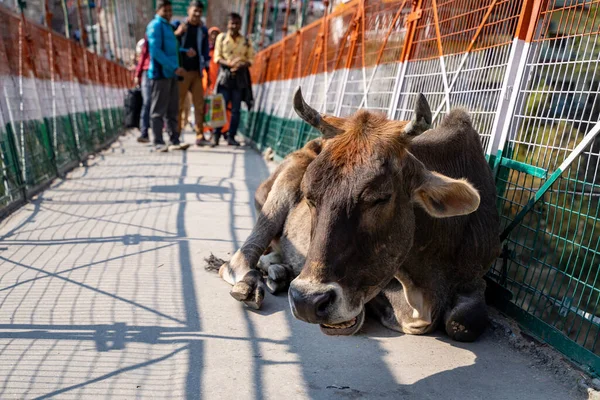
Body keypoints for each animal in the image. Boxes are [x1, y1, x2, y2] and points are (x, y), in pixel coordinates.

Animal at [218, 87, 500, 340]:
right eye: (309, 196)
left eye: (380, 197)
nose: (307, 301)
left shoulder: (475, 277)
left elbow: (462, 322)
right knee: (238, 261)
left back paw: (279, 272)